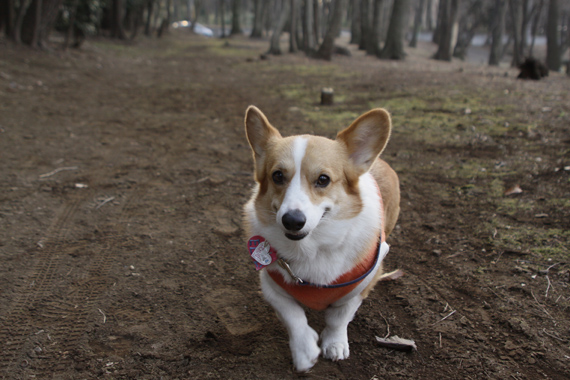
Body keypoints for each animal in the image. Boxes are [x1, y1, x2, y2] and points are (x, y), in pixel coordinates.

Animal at [243, 106, 400, 372]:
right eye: (277, 176)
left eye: (323, 179)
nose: (292, 220)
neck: (311, 248)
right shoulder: (271, 283)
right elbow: (293, 315)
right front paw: (304, 350)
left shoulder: (362, 286)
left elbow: (339, 317)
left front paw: (334, 344)